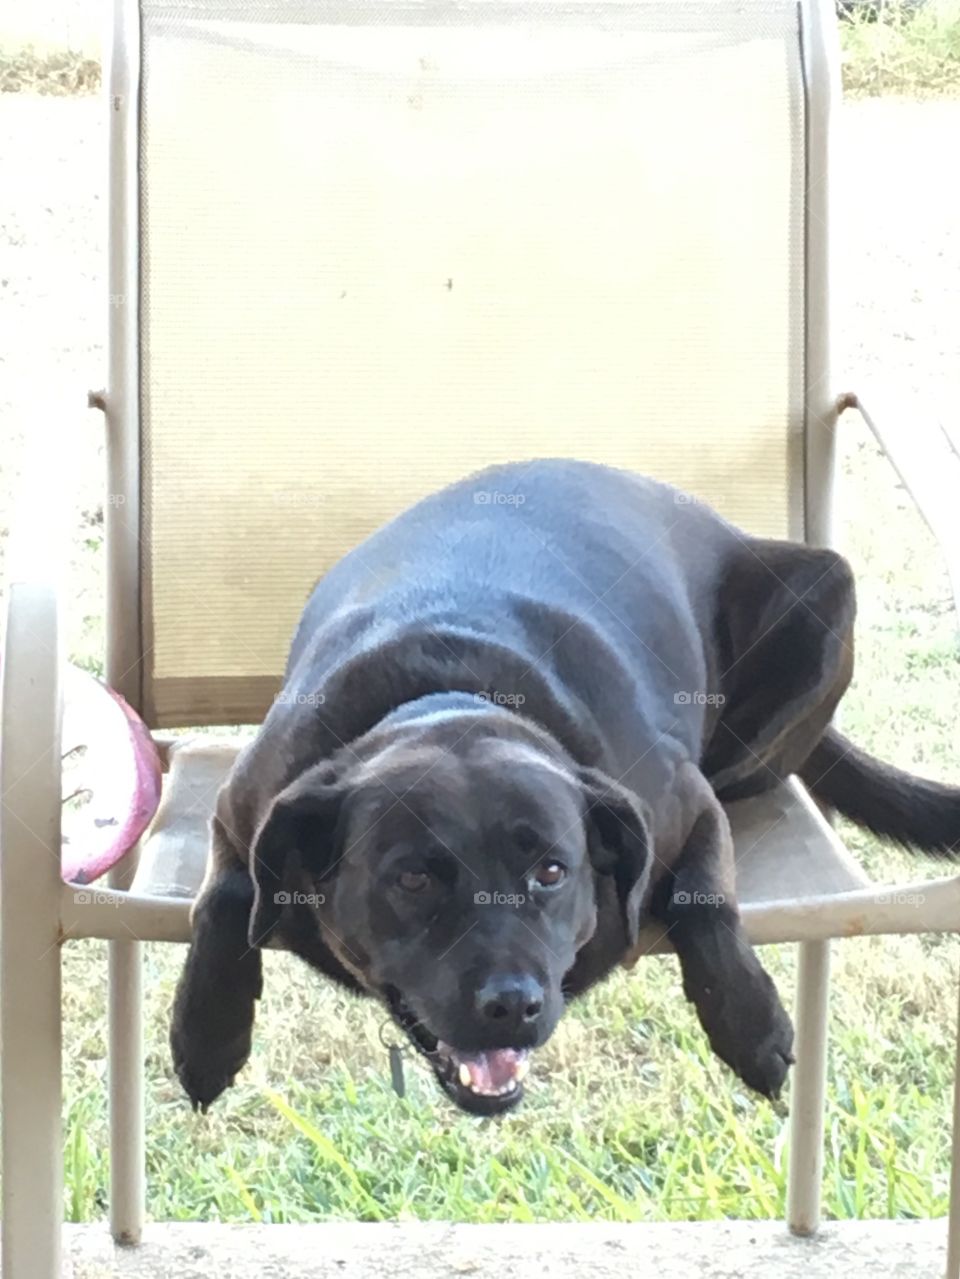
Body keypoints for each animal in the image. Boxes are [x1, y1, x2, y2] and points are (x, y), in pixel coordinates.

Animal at [172, 457, 960, 1110]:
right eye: (413, 879)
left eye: (552, 871)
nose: (512, 1005)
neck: (448, 696)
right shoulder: (244, 806)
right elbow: (225, 896)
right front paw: (206, 1034)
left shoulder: (682, 800)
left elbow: (703, 896)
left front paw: (750, 1022)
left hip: (824, 595)